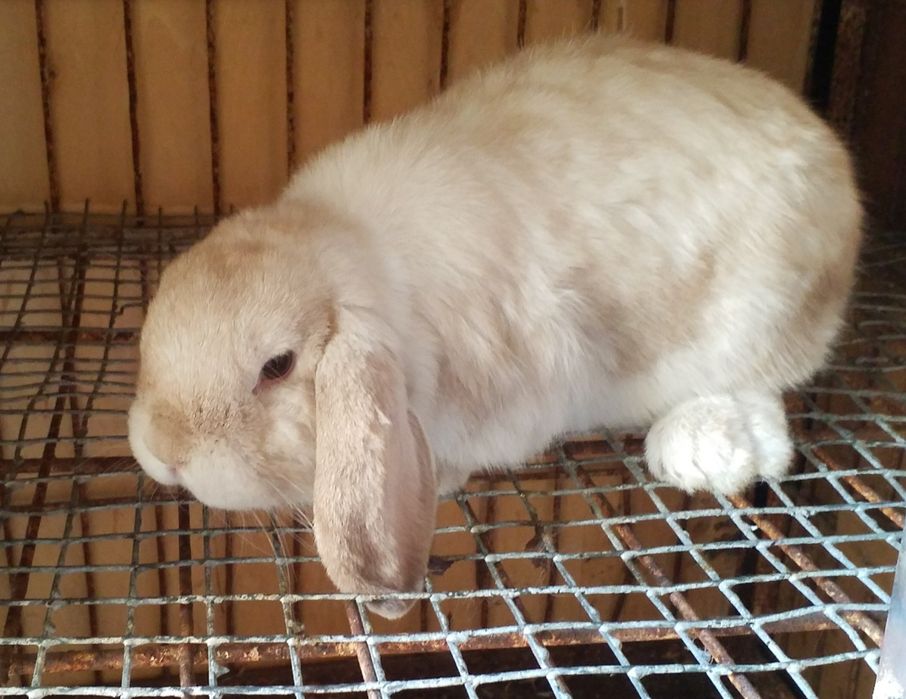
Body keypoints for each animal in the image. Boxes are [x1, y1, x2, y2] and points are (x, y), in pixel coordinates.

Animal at [128, 34, 863, 618]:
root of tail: (838, 174)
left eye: (277, 366)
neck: (363, 253)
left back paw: (702, 446)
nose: (164, 452)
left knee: (768, 402)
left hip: (758, 320)